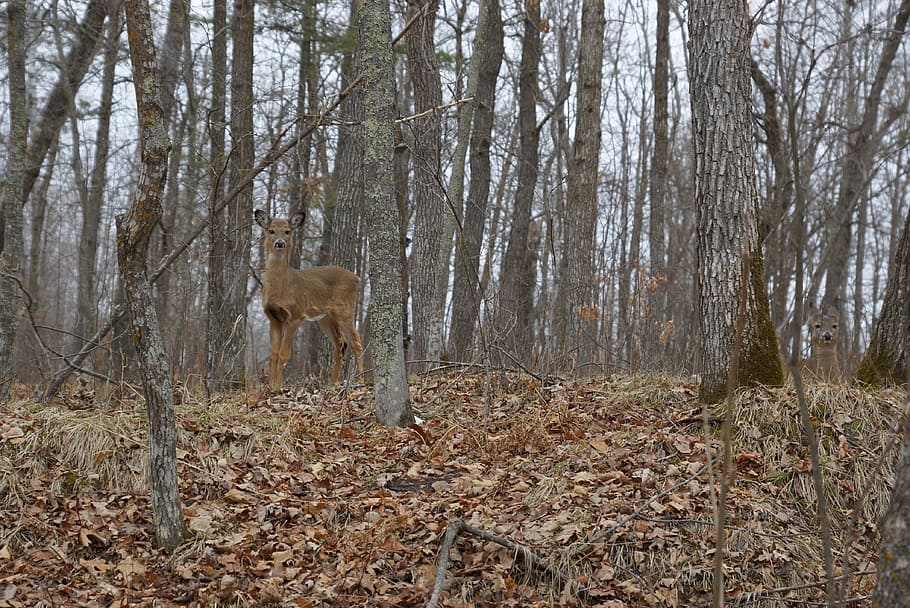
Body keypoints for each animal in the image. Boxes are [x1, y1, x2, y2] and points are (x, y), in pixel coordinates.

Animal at [254, 209, 364, 389]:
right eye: (271, 231)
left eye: (287, 231)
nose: (280, 243)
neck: (281, 289)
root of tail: (357, 278)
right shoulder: (273, 318)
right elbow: (274, 353)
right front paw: (270, 386)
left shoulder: (295, 315)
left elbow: (284, 354)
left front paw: (278, 387)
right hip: (326, 318)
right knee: (340, 343)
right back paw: (332, 382)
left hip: (345, 309)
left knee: (356, 341)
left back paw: (360, 379)